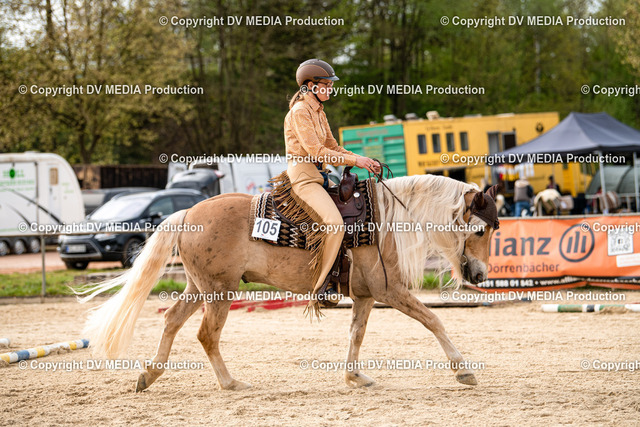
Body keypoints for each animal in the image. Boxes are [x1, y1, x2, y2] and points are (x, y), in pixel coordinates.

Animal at [79, 174, 499, 392]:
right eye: (480, 229)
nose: (480, 275)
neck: (384, 220)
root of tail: (187, 214)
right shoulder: (389, 291)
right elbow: (434, 320)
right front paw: (463, 370)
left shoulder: (366, 295)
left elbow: (357, 334)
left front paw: (354, 376)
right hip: (219, 291)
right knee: (206, 334)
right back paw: (230, 383)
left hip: (199, 288)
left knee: (171, 321)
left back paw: (148, 375)